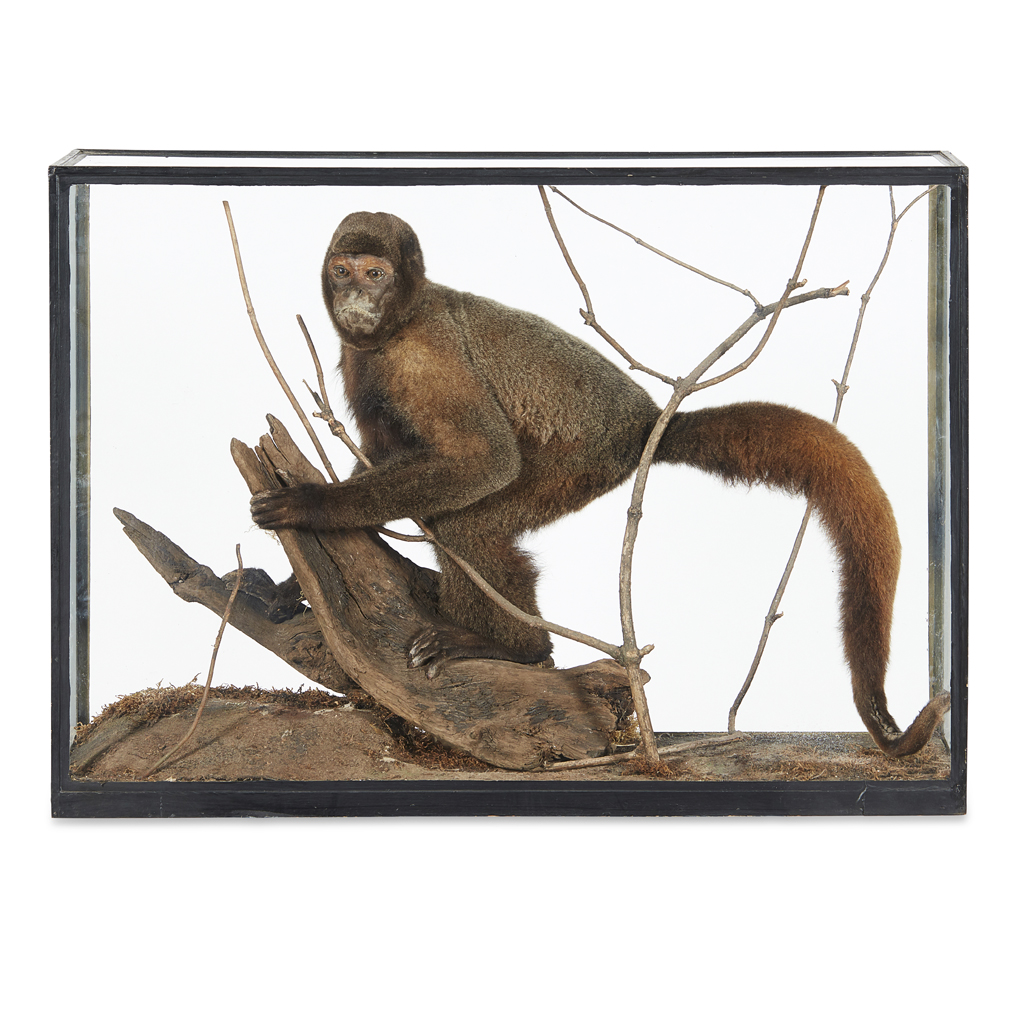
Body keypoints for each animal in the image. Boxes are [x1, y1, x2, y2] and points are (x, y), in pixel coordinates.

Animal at [250, 211, 951, 757]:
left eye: (377, 273)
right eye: (343, 269)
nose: (356, 299)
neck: (395, 327)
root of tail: (645, 422)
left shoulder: (425, 355)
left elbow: (484, 460)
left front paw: (312, 507)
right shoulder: (359, 355)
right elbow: (378, 458)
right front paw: (291, 582)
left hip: (583, 464)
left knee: (467, 518)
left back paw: (516, 649)